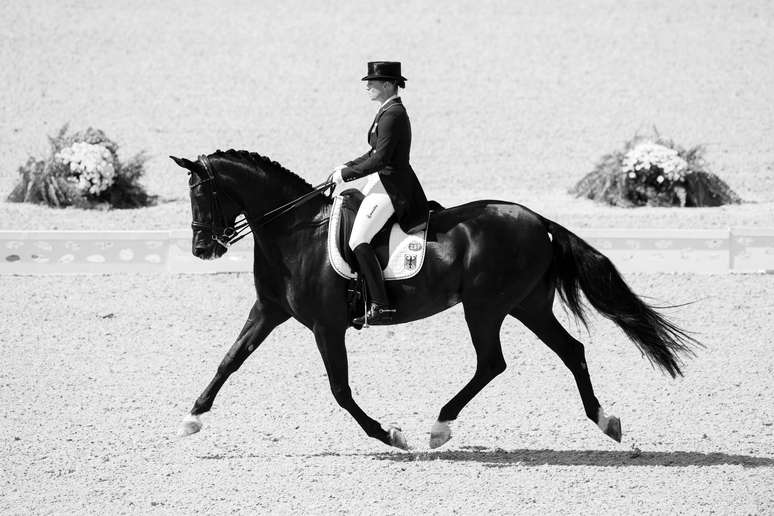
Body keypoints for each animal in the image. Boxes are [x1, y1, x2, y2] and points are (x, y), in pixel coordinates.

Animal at [171, 150, 704, 452]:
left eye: (202, 194)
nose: (202, 249)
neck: (296, 232)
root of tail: (536, 219)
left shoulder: (327, 327)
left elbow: (340, 391)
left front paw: (391, 435)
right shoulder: (270, 311)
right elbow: (229, 360)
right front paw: (191, 419)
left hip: (485, 307)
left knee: (493, 362)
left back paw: (439, 427)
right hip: (526, 305)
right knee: (570, 351)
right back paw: (605, 421)